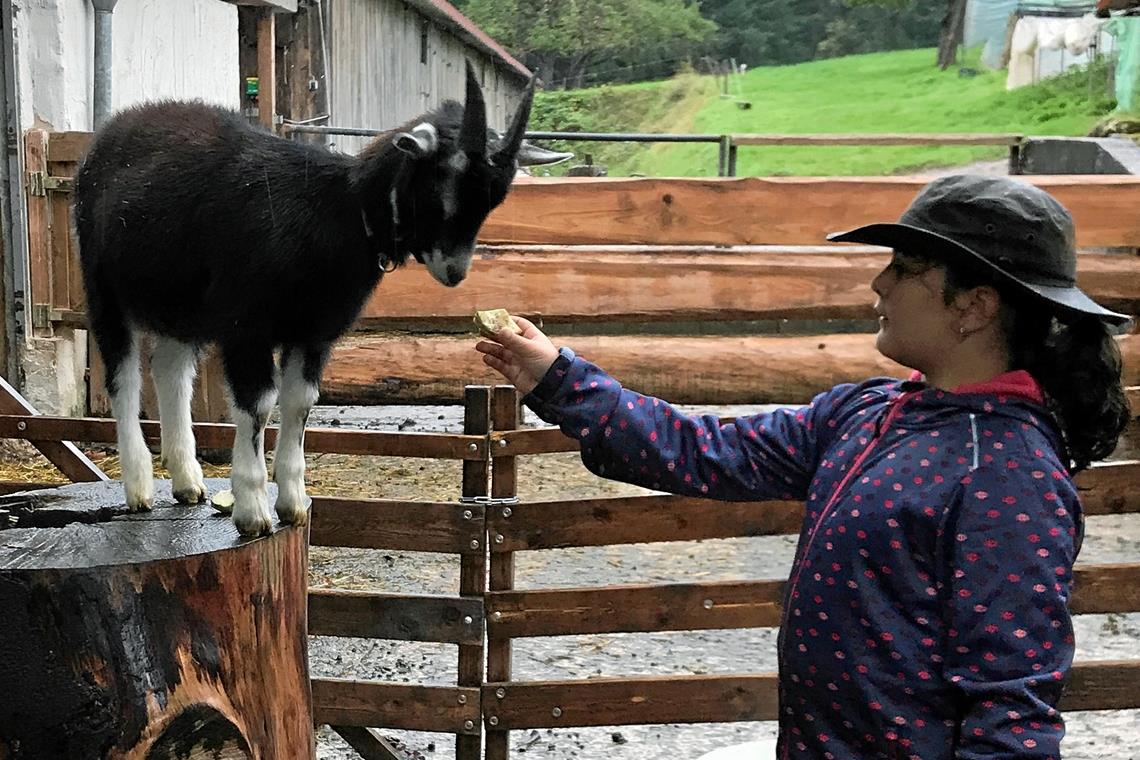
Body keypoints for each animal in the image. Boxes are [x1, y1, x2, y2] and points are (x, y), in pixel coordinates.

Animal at [75, 62, 533, 537]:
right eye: (444, 177)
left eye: (496, 197)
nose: (455, 271)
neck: (336, 211)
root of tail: (110, 134)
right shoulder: (246, 327)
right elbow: (258, 406)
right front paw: (253, 510)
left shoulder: (315, 333)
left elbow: (300, 404)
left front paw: (294, 504)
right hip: (103, 289)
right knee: (123, 379)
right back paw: (139, 486)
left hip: (182, 305)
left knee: (170, 370)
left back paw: (187, 481)